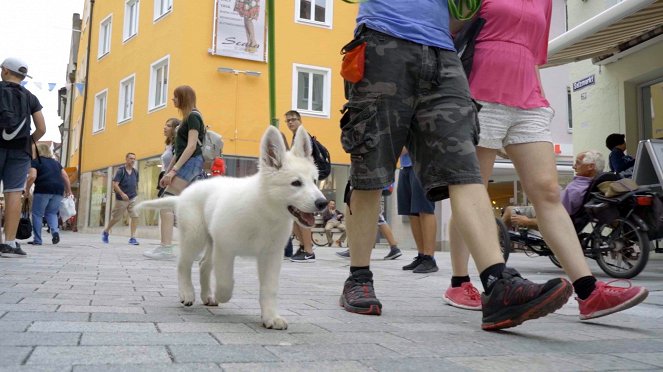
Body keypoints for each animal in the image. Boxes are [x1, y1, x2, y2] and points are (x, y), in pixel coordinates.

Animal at [137, 125, 326, 328]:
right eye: (296, 183)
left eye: (315, 181)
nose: (322, 203)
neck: (264, 211)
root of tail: (182, 196)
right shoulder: (225, 249)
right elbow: (225, 282)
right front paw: (222, 295)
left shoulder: (271, 256)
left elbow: (269, 289)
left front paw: (270, 317)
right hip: (195, 236)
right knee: (183, 265)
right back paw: (187, 294)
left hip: (211, 242)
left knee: (203, 265)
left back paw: (206, 296)